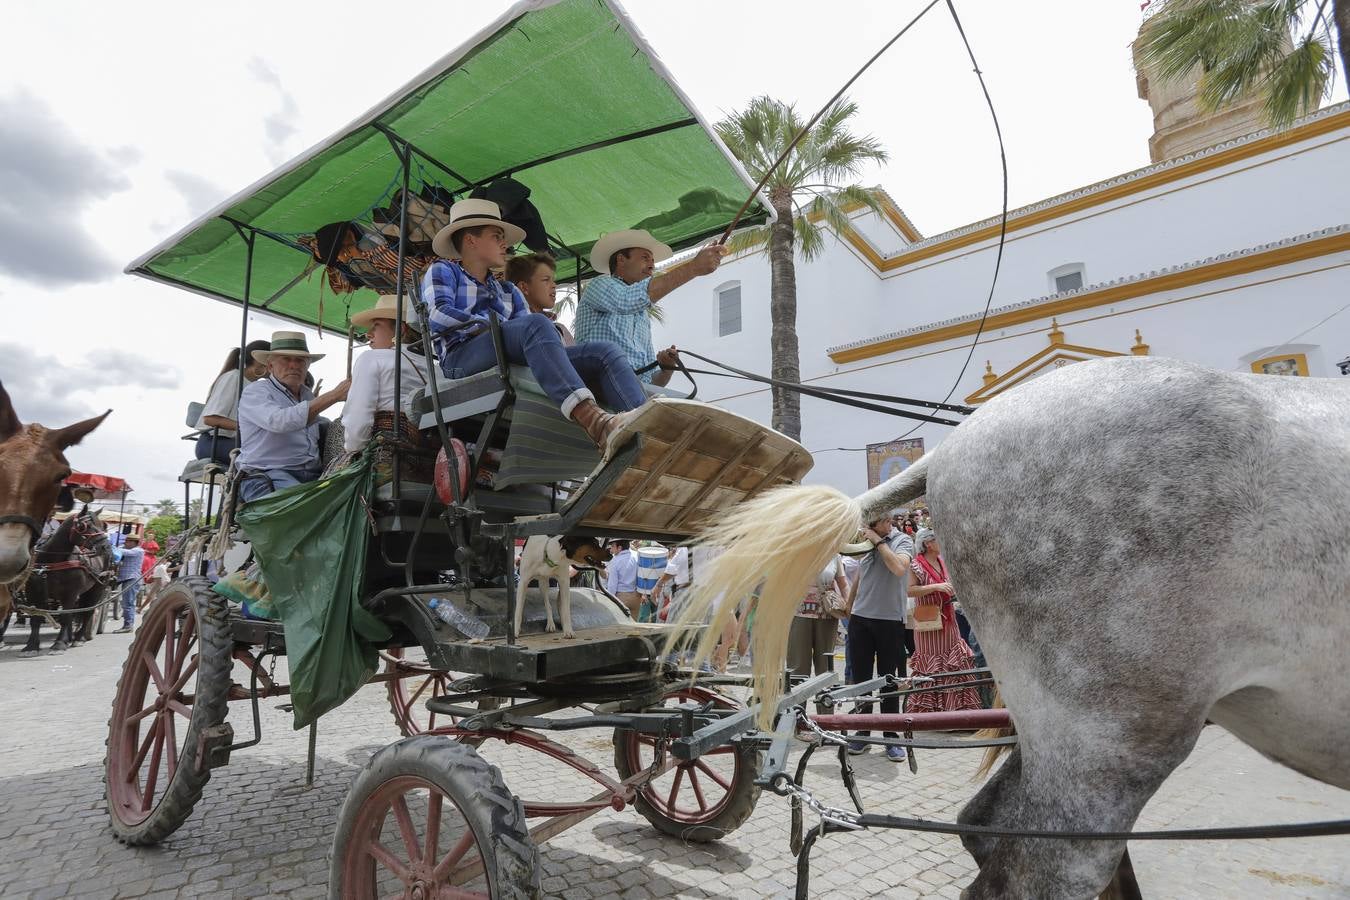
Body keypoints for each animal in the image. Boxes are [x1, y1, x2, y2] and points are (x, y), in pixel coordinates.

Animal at [13, 507, 116, 655]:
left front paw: (59, 643)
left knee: (88, 612)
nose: (106, 547)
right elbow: (36, 618)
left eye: (102, 526)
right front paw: (31, 646)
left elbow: (65, 618)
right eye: (84, 526)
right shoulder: (33, 592)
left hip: (98, 588)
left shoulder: (70, 594)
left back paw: (79, 638)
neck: (51, 562)